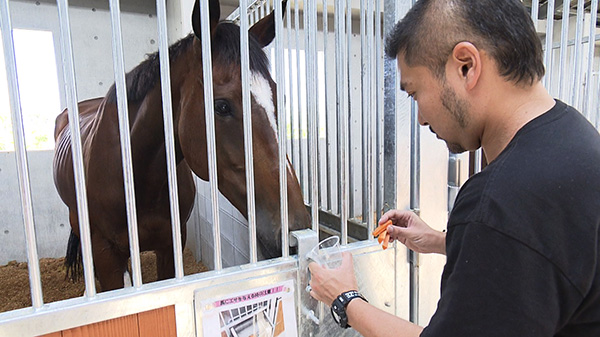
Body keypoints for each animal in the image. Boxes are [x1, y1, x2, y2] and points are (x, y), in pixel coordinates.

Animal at [52, 0, 310, 292]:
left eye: (279, 99)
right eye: (222, 106)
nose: (295, 231)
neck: (134, 179)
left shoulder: (170, 247)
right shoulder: (106, 253)